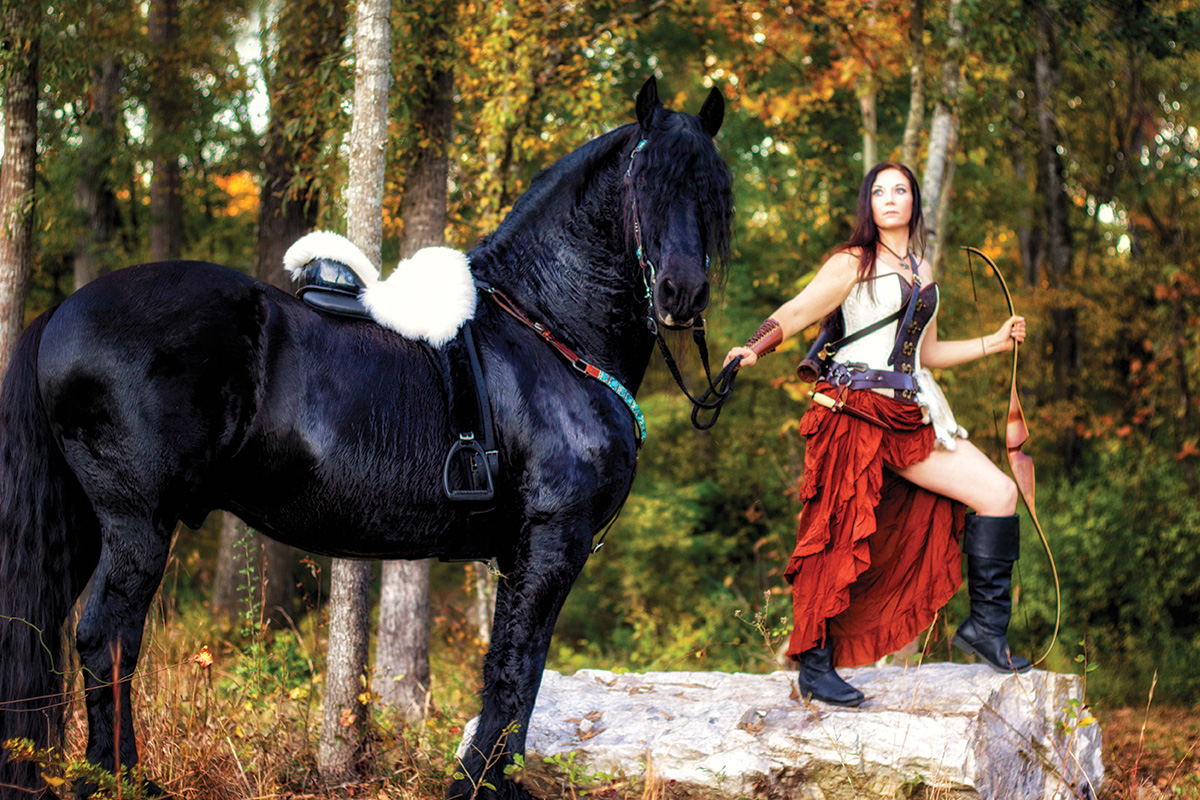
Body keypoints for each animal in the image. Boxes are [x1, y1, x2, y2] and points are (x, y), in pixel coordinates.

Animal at [0, 76, 729, 800]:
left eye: (710, 190)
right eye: (644, 182)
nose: (681, 293)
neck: (547, 327)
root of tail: (61, 311)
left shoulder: (526, 551)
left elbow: (514, 668)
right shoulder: (551, 541)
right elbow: (517, 669)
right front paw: (481, 784)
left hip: (84, 521)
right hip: (138, 523)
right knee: (106, 638)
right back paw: (118, 779)